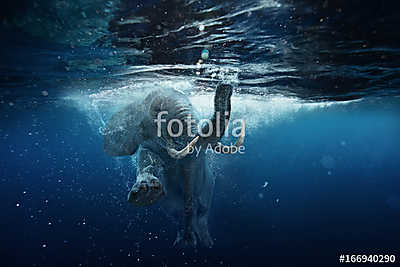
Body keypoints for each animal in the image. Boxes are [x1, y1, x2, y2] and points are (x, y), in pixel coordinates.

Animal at [103, 84, 244, 249]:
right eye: (158, 114)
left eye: (191, 104)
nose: (225, 87)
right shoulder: (146, 142)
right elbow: (147, 159)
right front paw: (145, 192)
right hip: (169, 204)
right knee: (176, 215)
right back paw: (184, 242)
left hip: (208, 189)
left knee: (202, 212)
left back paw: (203, 242)